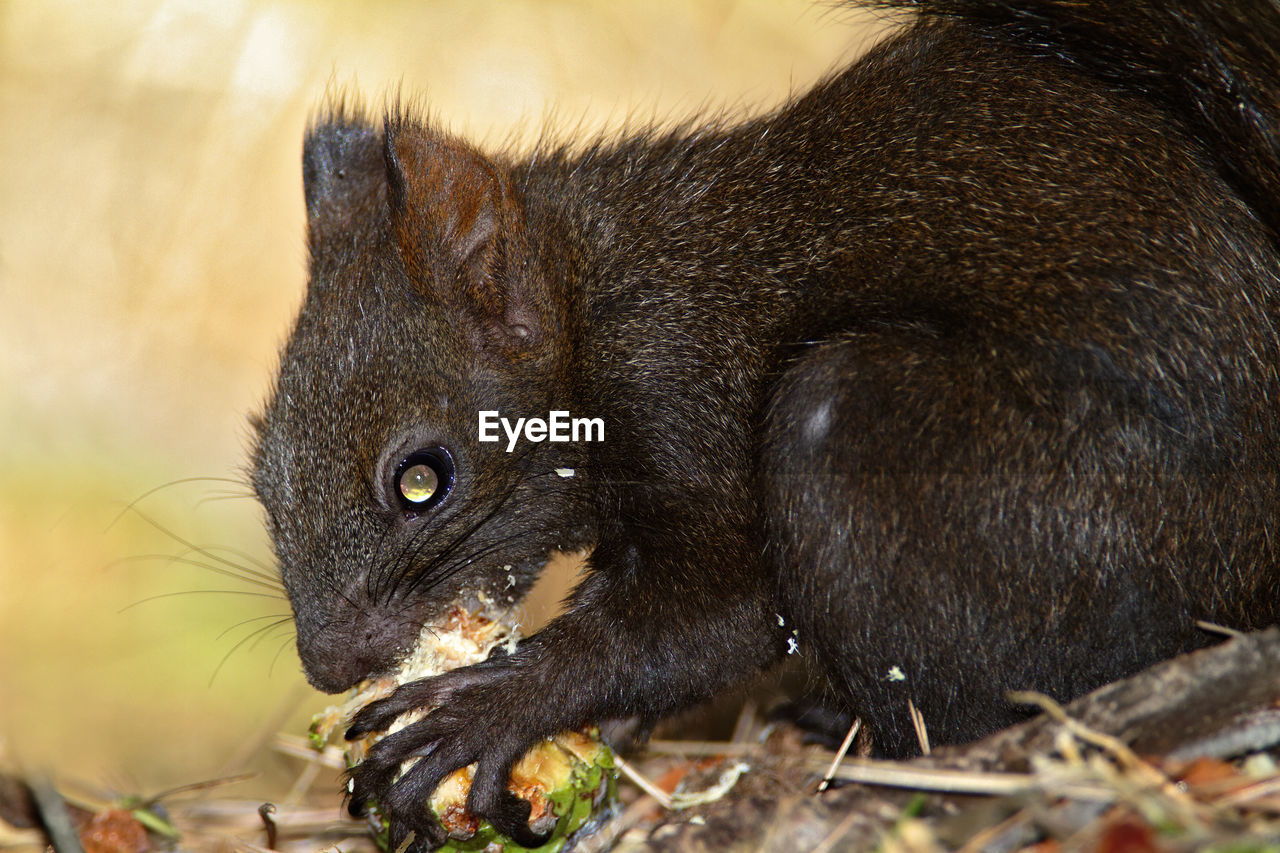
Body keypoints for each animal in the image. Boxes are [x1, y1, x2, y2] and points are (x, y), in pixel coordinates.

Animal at [247, 0, 1280, 845]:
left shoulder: (687, 389)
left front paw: (496, 710)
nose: (326, 664)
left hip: (901, 448)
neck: (596, 302)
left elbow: (718, 617)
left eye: (423, 476)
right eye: (261, 473)